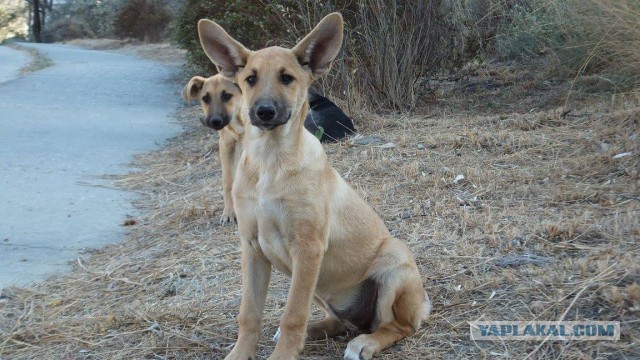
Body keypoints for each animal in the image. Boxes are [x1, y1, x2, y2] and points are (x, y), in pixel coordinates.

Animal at [198, 11, 432, 360]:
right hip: (323, 290)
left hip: (395, 258)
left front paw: (282, 355)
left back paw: (364, 343)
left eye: (287, 78)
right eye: (250, 79)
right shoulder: (252, 248)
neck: (271, 161)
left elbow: (293, 314)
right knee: (338, 322)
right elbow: (249, 314)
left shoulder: (307, 249)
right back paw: (319, 330)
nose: (264, 112)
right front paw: (240, 354)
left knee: (396, 327)